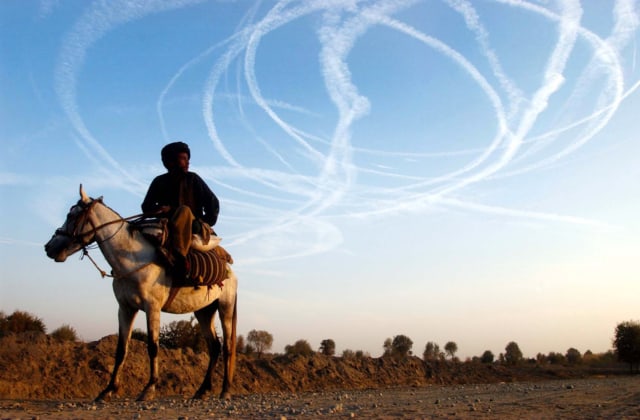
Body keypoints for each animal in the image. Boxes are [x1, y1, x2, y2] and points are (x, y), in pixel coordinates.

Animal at [44, 185, 238, 402]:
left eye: (71, 215)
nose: (49, 247)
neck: (132, 259)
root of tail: (230, 270)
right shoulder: (125, 308)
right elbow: (121, 349)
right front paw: (108, 390)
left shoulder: (152, 307)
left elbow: (153, 347)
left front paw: (149, 389)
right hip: (204, 311)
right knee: (214, 347)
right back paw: (202, 390)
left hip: (225, 306)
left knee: (227, 347)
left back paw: (225, 390)